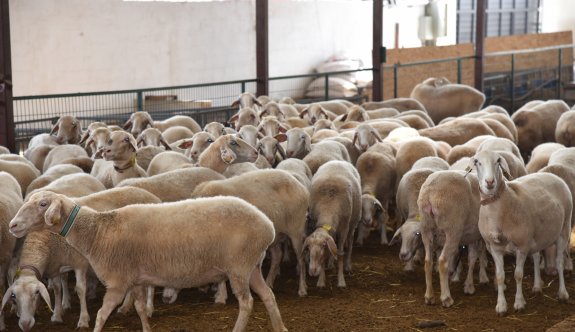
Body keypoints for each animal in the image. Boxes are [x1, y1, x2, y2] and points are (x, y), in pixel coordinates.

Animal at [9, 192, 288, 332]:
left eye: (43, 204)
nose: (12, 225)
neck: (98, 232)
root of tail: (268, 225)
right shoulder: (136, 281)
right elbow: (141, 309)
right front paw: (147, 328)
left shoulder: (118, 284)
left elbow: (101, 315)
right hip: (252, 267)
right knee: (268, 295)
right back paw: (280, 327)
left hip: (238, 267)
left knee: (247, 303)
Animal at [418, 170, 490, 308]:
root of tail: (430, 193)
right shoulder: (477, 235)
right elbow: (474, 258)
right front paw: (471, 285)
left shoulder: (473, 235)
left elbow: (473, 256)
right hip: (452, 230)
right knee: (442, 261)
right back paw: (446, 298)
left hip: (426, 229)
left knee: (428, 262)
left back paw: (429, 296)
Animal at [468, 150, 572, 314]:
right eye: (477, 162)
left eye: (498, 161)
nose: (490, 182)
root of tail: (553, 175)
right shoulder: (495, 248)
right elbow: (500, 276)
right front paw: (501, 306)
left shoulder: (521, 247)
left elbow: (518, 275)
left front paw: (519, 303)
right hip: (537, 235)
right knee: (536, 256)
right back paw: (537, 286)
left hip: (564, 230)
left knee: (560, 262)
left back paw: (562, 293)